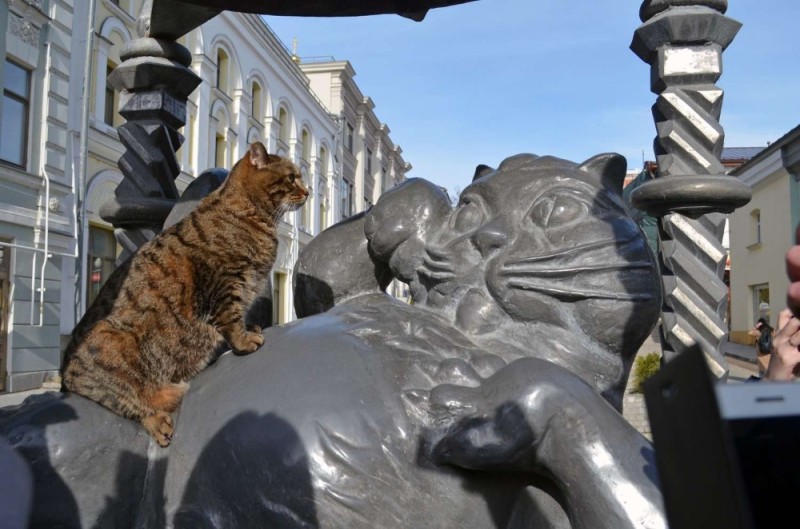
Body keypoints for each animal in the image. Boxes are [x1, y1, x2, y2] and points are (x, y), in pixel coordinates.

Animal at [61, 143, 306, 446]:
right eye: (291, 178)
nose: (308, 191)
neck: (250, 213)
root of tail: (65, 373)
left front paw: (250, 328)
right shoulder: (225, 283)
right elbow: (231, 318)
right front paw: (244, 339)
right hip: (110, 343)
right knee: (125, 400)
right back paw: (156, 421)